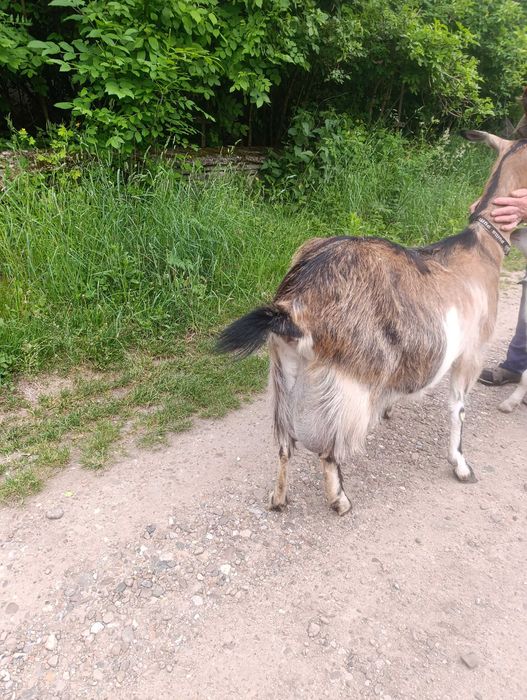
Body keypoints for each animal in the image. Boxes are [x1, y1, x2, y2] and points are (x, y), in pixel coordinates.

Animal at [217, 131, 527, 515]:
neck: (481, 248)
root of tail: (295, 304)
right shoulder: (471, 353)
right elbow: (458, 409)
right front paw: (461, 466)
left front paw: (391, 409)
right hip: (348, 381)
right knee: (328, 450)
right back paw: (340, 500)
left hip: (282, 374)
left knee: (285, 445)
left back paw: (278, 499)